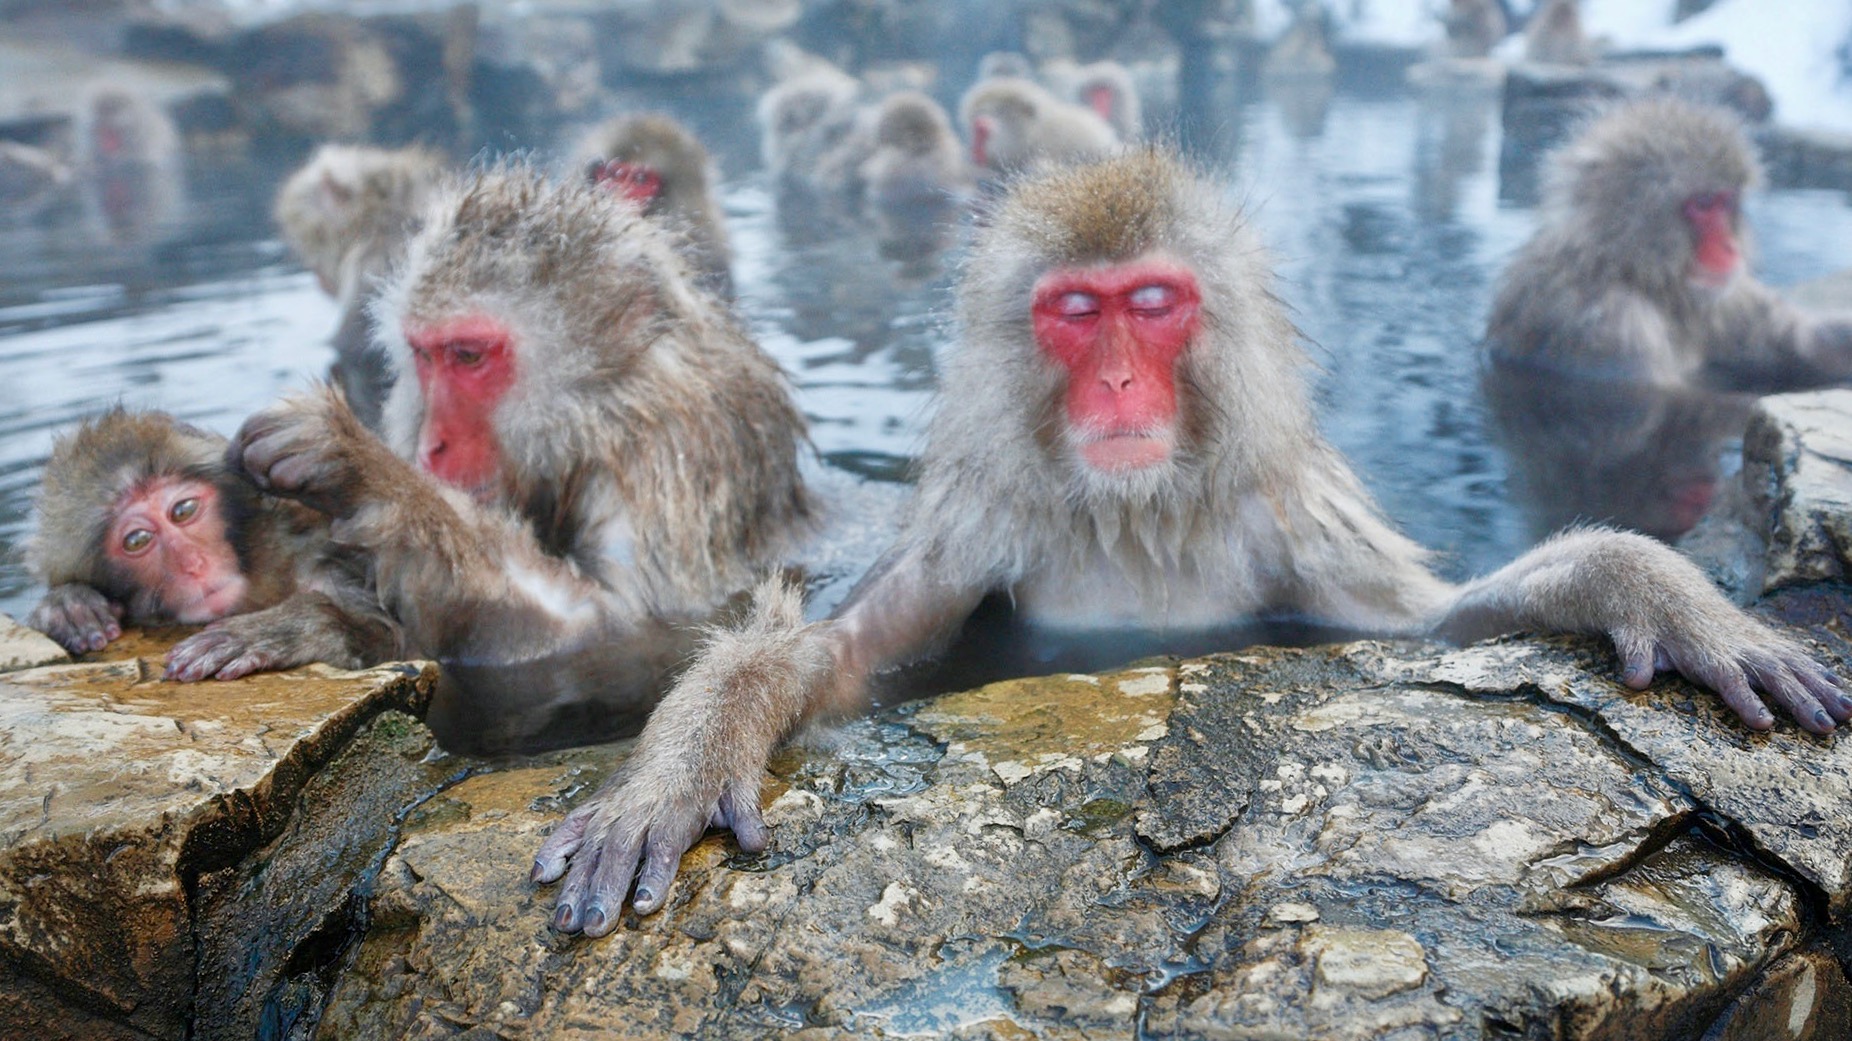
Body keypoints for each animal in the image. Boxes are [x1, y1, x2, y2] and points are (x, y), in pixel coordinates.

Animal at [24, 407, 400, 680]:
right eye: (137, 540)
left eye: (183, 510)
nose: (193, 564)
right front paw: (68, 605)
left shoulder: (324, 565)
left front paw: (284, 630)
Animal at [529, 149, 1852, 935]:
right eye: (1077, 311)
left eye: (1153, 304)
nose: (1117, 380)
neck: (1139, 507)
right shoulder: (982, 522)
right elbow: (836, 659)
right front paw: (681, 762)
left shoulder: (1290, 518)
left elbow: (1431, 625)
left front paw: (1653, 590)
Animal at [1485, 98, 1852, 395]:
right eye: (1702, 204)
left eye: (1725, 201)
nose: (1731, 248)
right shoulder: (1608, 325)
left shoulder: (1723, 300)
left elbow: (1796, 341)